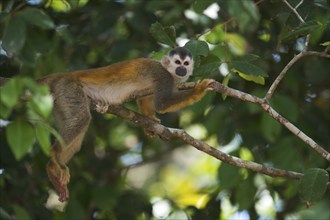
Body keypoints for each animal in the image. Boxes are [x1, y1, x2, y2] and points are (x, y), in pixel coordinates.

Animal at [39, 47, 214, 202]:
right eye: (177, 62)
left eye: (186, 63)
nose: (181, 69)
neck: (169, 71)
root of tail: (63, 75)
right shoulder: (162, 76)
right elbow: (162, 103)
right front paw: (199, 90)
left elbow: (145, 100)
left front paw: (150, 122)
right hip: (68, 88)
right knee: (81, 118)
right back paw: (56, 156)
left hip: (59, 100)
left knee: (76, 135)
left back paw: (52, 168)